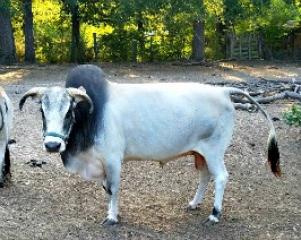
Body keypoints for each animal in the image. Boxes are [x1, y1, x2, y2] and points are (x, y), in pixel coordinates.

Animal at [19, 64, 280, 225]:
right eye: (42, 111)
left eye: (69, 111)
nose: (52, 145)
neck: (92, 116)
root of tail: (224, 91)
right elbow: (106, 189)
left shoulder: (113, 160)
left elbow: (113, 189)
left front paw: (112, 217)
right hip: (200, 153)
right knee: (205, 176)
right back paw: (194, 203)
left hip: (215, 151)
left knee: (222, 177)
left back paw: (215, 214)